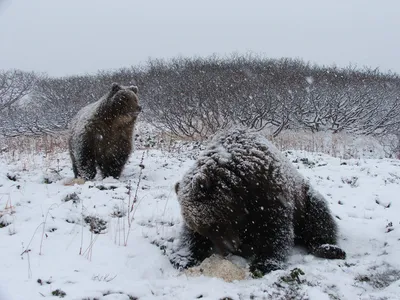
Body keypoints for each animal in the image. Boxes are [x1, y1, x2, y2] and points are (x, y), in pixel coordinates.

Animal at [170, 127, 346, 276]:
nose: (231, 249)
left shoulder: (268, 194)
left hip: (305, 200)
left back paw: (328, 248)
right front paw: (183, 257)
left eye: (214, 224)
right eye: (203, 229)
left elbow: (275, 229)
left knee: (318, 218)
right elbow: (188, 235)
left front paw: (264, 264)